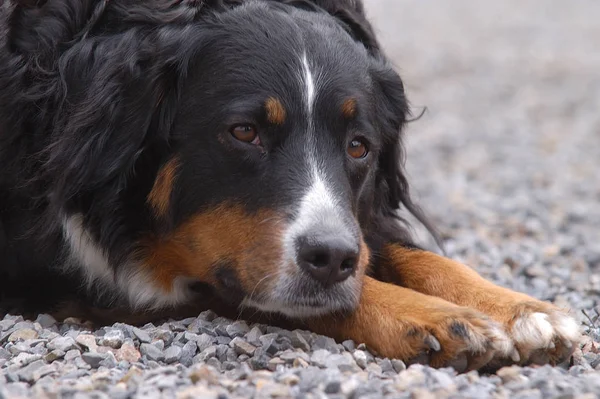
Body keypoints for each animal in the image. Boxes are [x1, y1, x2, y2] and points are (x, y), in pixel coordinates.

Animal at [0, 0, 580, 372]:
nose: (332, 257)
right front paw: (445, 320)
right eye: (244, 132)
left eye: (358, 146)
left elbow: (405, 253)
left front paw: (523, 310)